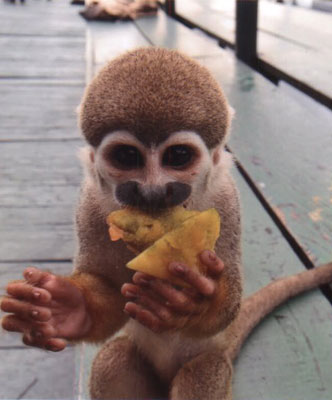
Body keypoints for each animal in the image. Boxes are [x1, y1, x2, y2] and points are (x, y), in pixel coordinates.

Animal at [1, 48, 330, 398]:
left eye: (179, 156)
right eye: (127, 157)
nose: (154, 191)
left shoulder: (227, 200)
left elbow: (226, 307)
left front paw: (197, 301)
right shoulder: (89, 202)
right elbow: (108, 290)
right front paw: (67, 307)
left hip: (215, 360)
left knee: (202, 373)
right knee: (113, 359)